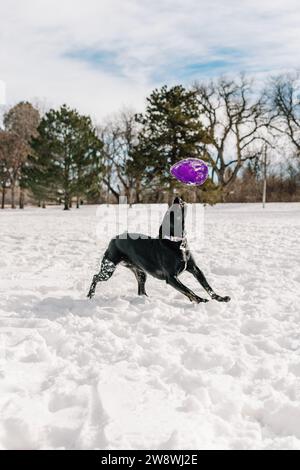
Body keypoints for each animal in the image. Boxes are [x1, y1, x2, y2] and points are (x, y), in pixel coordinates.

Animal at [88, 196, 231, 302]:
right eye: (170, 213)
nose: (176, 197)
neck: (177, 243)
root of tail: (114, 238)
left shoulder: (195, 269)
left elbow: (208, 287)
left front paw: (220, 298)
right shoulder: (171, 278)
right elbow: (188, 290)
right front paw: (200, 300)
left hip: (141, 273)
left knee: (141, 290)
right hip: (108, 269)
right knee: (95, 277)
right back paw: (90, 295)